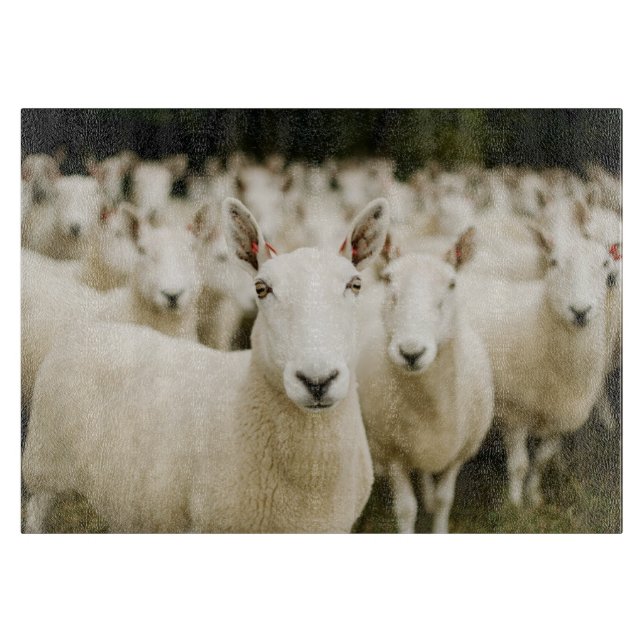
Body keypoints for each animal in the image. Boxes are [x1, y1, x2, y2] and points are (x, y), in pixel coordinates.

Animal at [357, 229, 494, 533]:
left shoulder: (459, 452)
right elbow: (406, 509)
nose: (411, 352)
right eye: (389, 280)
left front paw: (437, 516)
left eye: (452, 283)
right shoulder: (392, 452)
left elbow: (444, 500)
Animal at [459, 225, 614, 507]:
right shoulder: (514, 413)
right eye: (553, 262)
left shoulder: (562, 416)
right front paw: (516, 504)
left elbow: (542, 460)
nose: (580, 311)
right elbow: (519, 465)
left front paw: (535, 497)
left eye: (605, 264)